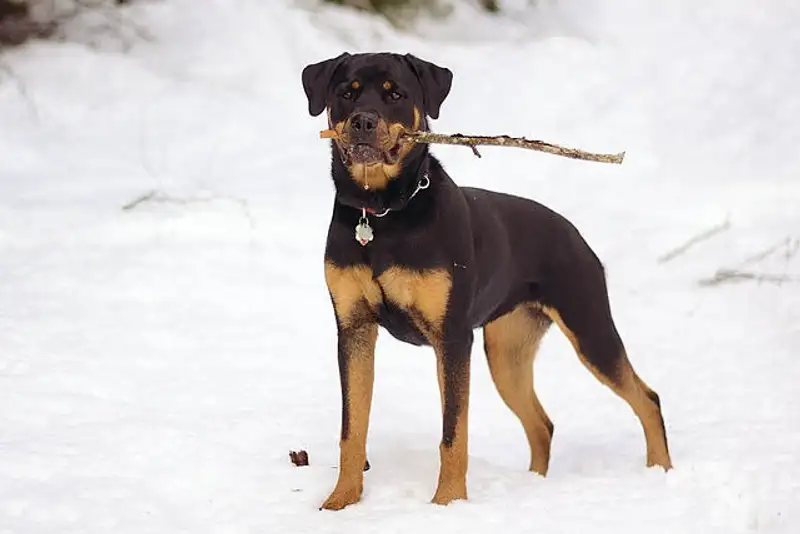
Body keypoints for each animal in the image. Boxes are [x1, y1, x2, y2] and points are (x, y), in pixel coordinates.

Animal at [300, 52, 668, 512]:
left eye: (395, 94)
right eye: (345, 93)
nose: (363, 121)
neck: (382, 214)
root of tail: (574, 234)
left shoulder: (453, 337)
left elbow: (453, 433)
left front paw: (447, 504)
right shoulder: (353, 328)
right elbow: (353, 428)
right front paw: (340, 502)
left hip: (589, 326)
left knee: (647, 398)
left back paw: (662, 473)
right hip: (507, 350)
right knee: (542, 424)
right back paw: (534, 485)